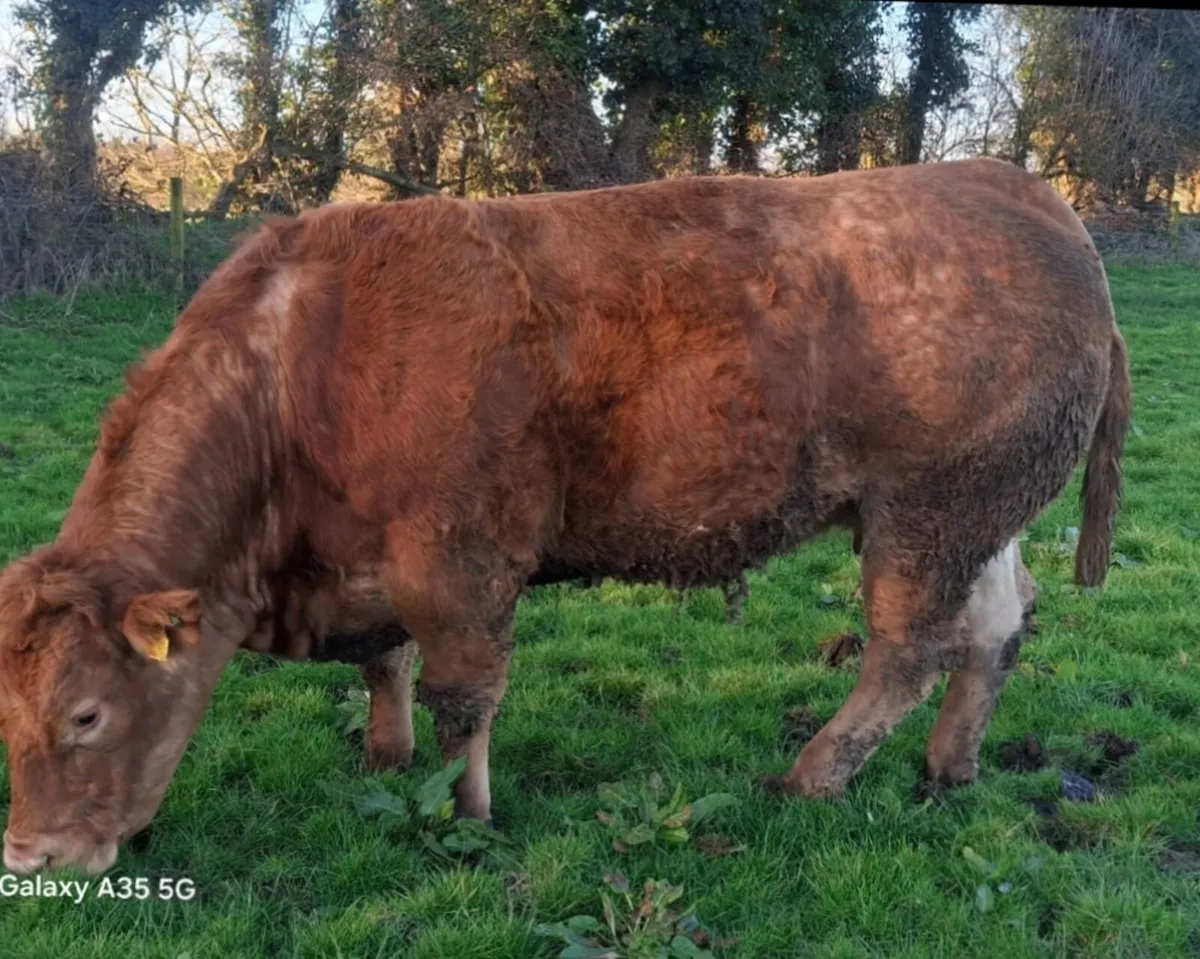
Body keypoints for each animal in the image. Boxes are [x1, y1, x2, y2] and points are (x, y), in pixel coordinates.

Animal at [0, 158, 1130, 875]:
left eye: (86, 714)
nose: (30, 852)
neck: (301, 362)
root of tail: (1031, 195)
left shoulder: (457, 560)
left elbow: (462, 695)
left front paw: (464, 813)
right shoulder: (373, 564)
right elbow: (385, 665)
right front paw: (384, 756)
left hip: (923, 516)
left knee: (906, 650)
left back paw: (812, 776)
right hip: (980, 514)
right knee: (997, 626)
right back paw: (950, 768)